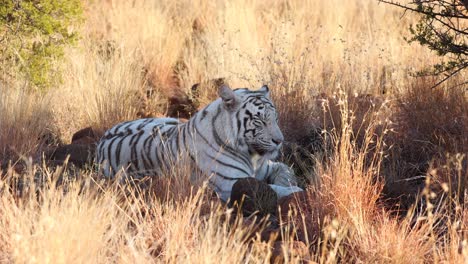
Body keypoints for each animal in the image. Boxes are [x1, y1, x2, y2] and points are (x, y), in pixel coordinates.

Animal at [97, 85, 304, 201]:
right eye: (260, 120)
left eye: (275, 118)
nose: (279, 141)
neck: (252, 154)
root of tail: (102, 138)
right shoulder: (232, 184)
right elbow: (277, 190)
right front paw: (297, 191)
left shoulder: (271, 166)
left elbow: (287, 173)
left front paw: (291, 184)